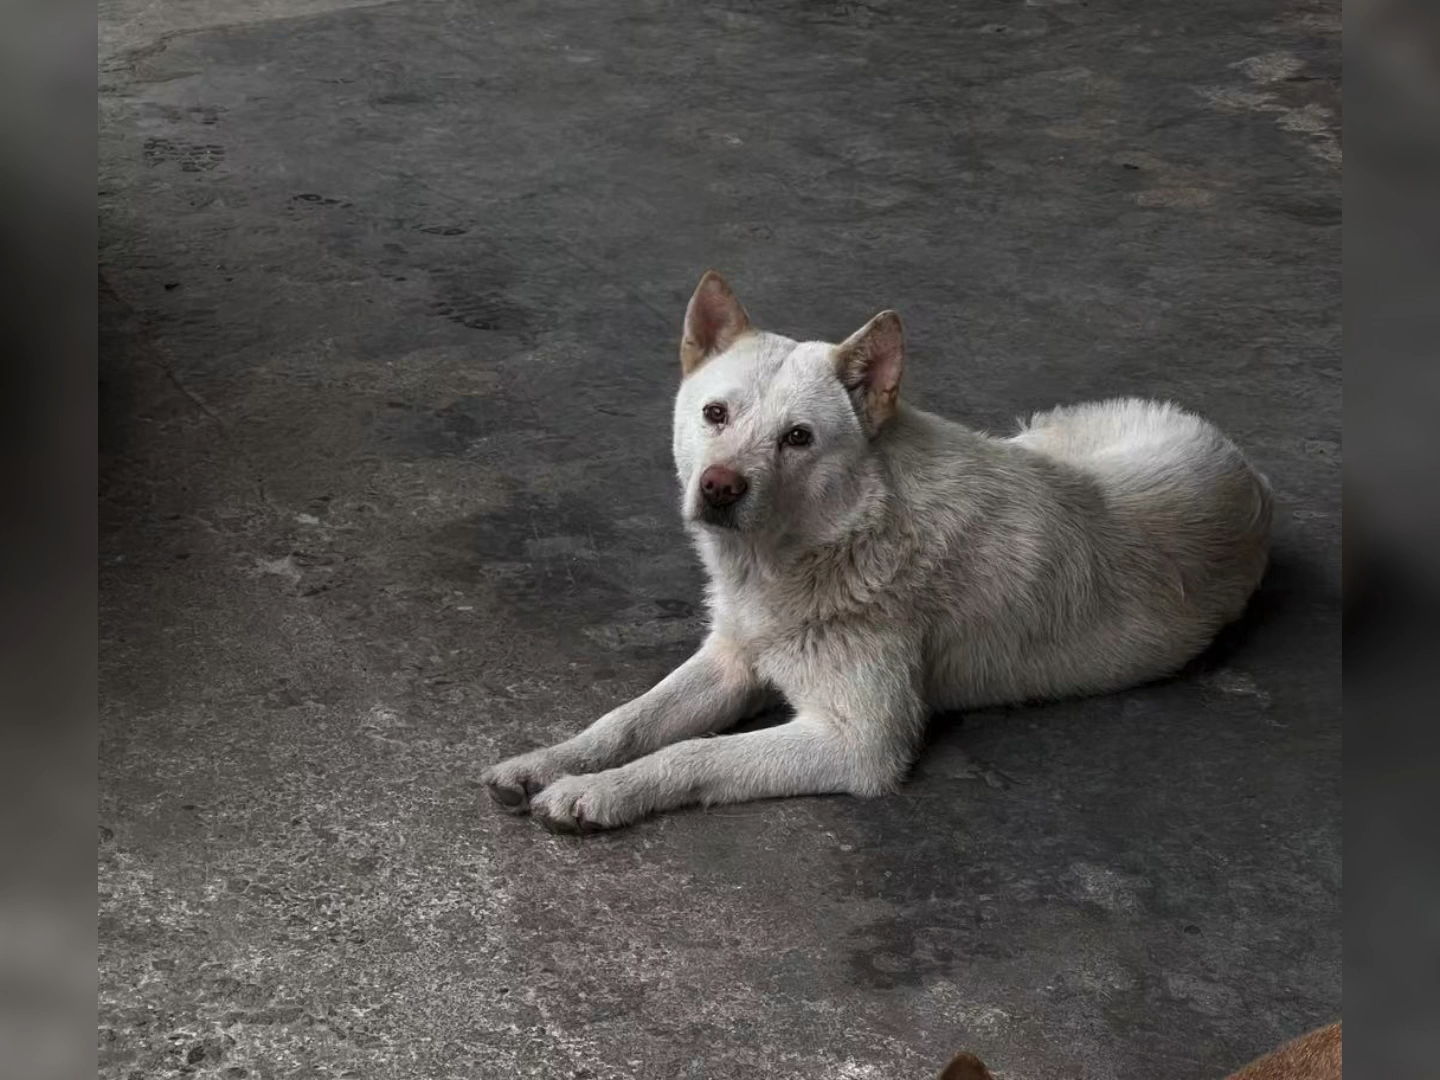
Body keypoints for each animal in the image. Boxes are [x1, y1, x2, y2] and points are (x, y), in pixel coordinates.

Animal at [480, 272, 1272, 835]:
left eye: (798, 438)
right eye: (715, 414)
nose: (719, 488)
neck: (831, 542)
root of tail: (1238, 459)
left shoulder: (858, 745)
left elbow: (689, 752)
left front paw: (597, 793)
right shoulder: (732, 660)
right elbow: (629, 720)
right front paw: (549, 763)